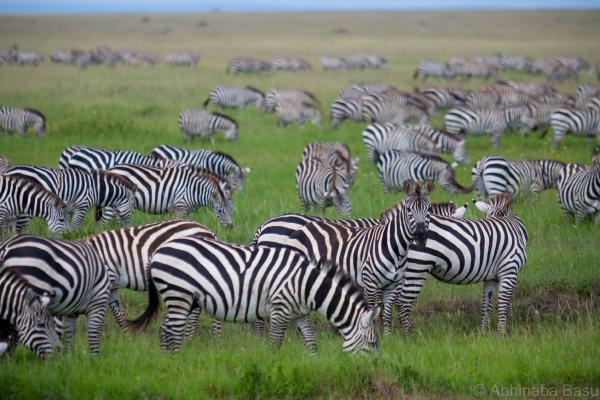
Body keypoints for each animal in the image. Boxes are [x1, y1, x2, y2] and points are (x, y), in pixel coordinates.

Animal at [3, 166, 136, 229]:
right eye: (133, 208)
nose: (128, 227)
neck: (95, 189)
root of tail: (8, 171)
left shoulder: (68, 211)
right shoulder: (81, 208)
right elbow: (74, 228)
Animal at [85, 220, 216, 337]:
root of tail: (208, 231)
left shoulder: (108, 280)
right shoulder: (112, 286)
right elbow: (118, 313)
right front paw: (127, 336)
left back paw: (193, 338)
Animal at [130, 236, 380, 355]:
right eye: (373, 343)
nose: (373, 367)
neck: (306, 284)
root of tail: (157, 251)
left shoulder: (299, 313)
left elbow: (311, 341)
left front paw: (315, 364)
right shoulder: (280, 309)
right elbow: (275, 343)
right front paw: (273, 366)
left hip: (183, 298)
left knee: (166, 329)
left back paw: (169, 360)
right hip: (178, 294)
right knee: (171, 330)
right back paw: (175, 359)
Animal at [265, 180, 432, 334]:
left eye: (429, 210)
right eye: (409, 210)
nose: (421, 236)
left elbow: (384, 311)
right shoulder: (371, 281)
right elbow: (374, 310)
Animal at [397, 193, 528, 333]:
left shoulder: (491, 277)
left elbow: (487, 305)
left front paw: (484, 332)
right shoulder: (510, 271)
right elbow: (503, 304)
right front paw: (502, 333)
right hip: (417, 267)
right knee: (403, 302)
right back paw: (409, 334)